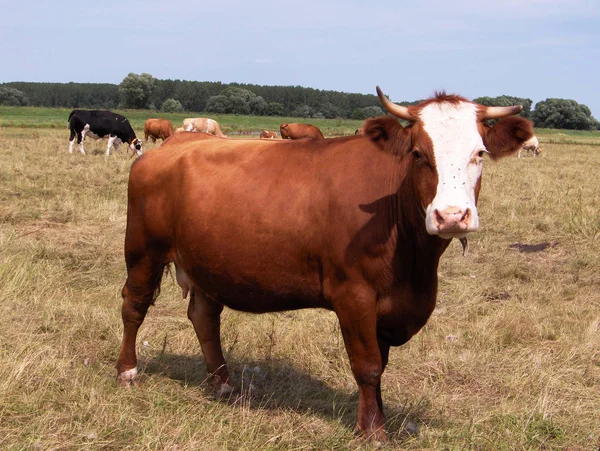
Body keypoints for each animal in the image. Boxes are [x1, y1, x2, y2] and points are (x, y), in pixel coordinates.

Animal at [117, 85, 536, 442]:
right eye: (418, 153)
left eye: (479, 153)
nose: (451, 216)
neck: (415, 265)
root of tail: (178, 141)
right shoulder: (354, 295)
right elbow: (367, 366)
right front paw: (373, 432)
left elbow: (380, 365)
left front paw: (374, 420)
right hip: (143, 250)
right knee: (134, 306)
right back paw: (127, 371)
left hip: (205, 261)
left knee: (204, 318)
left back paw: (223, 383)